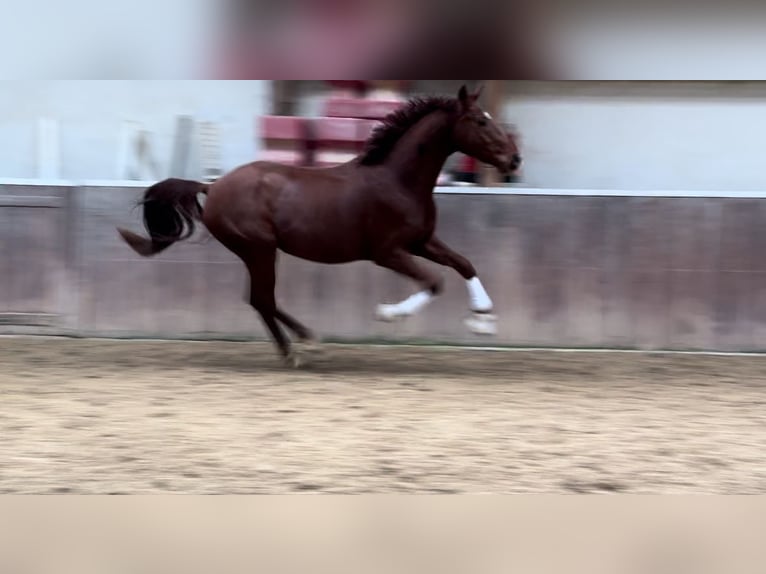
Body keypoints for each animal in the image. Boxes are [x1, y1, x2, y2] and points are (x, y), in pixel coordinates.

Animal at [118, 85, 520, 364]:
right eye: (481, 120)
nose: (514, 160)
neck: (397, 181)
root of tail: (212, 186)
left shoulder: (421, 241)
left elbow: (464, 264)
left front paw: (483, 320)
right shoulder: (387, 252)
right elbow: (434, 282)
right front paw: (388, 314)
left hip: (258, 251)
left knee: (261, 299)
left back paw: (304, 342)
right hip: (259, 248)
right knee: (262, 299)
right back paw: (298, 349)